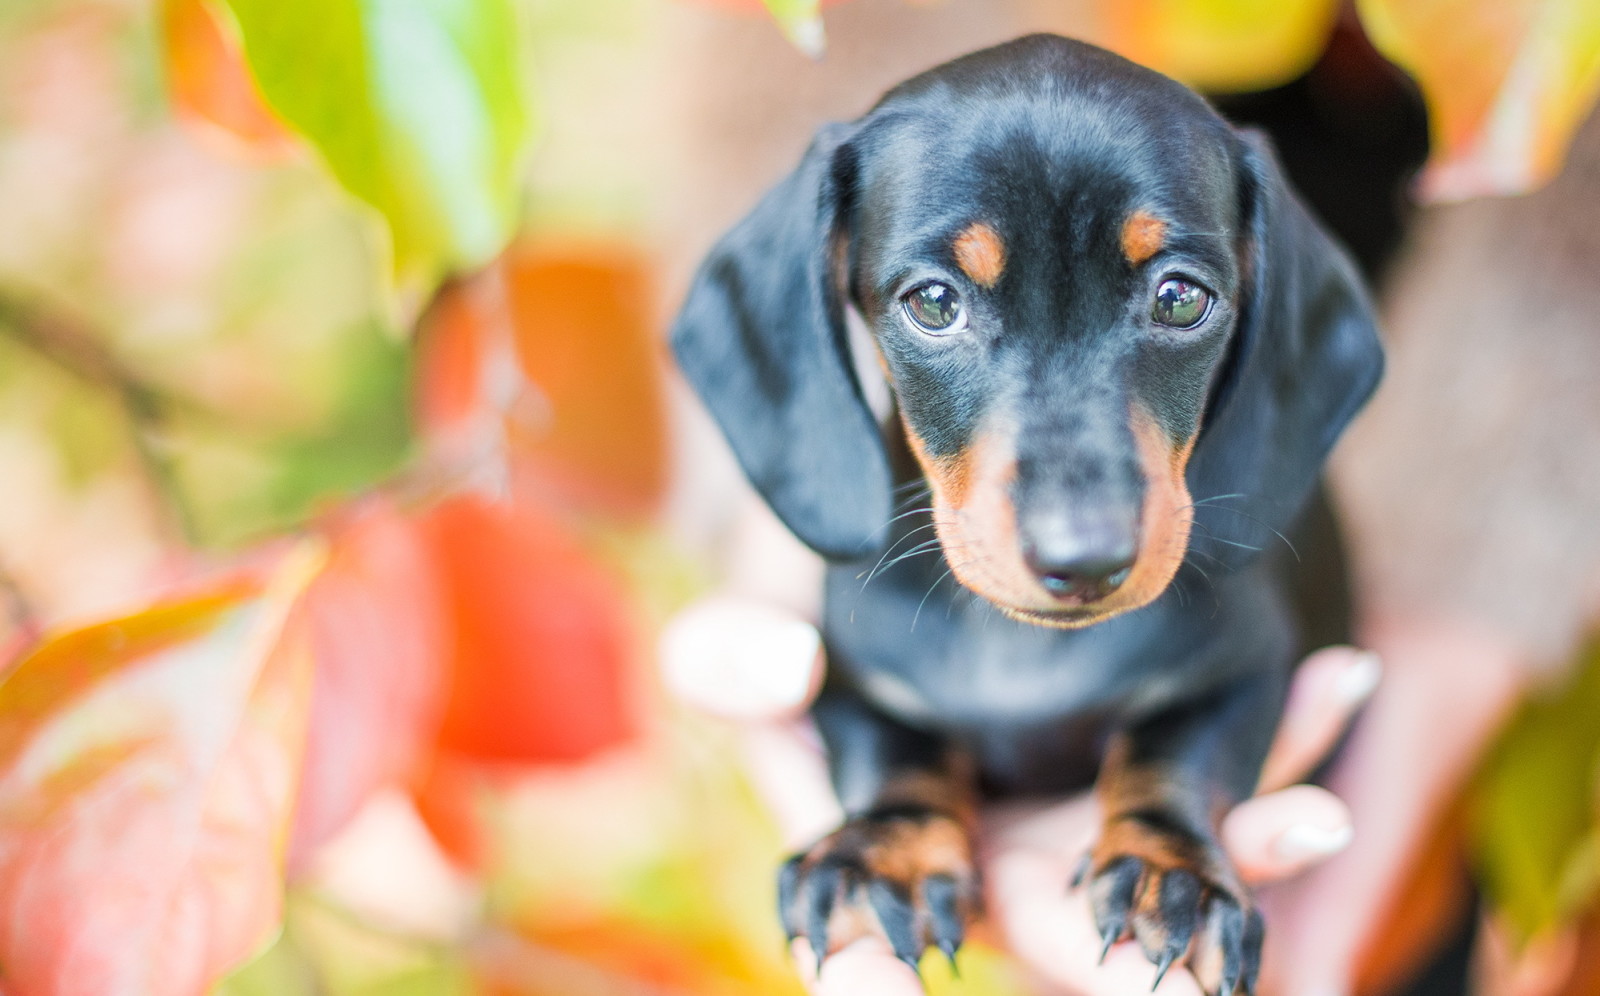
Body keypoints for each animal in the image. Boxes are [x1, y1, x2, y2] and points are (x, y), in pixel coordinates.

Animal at [668, 33, 1382, 996]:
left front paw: (1169, 867)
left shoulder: (1245, 665)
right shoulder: (853, 675)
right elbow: (894, 751)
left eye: (1181, 297)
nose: (1086, 561)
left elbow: (1178, 752)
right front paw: (884, 851)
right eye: (933, 302)